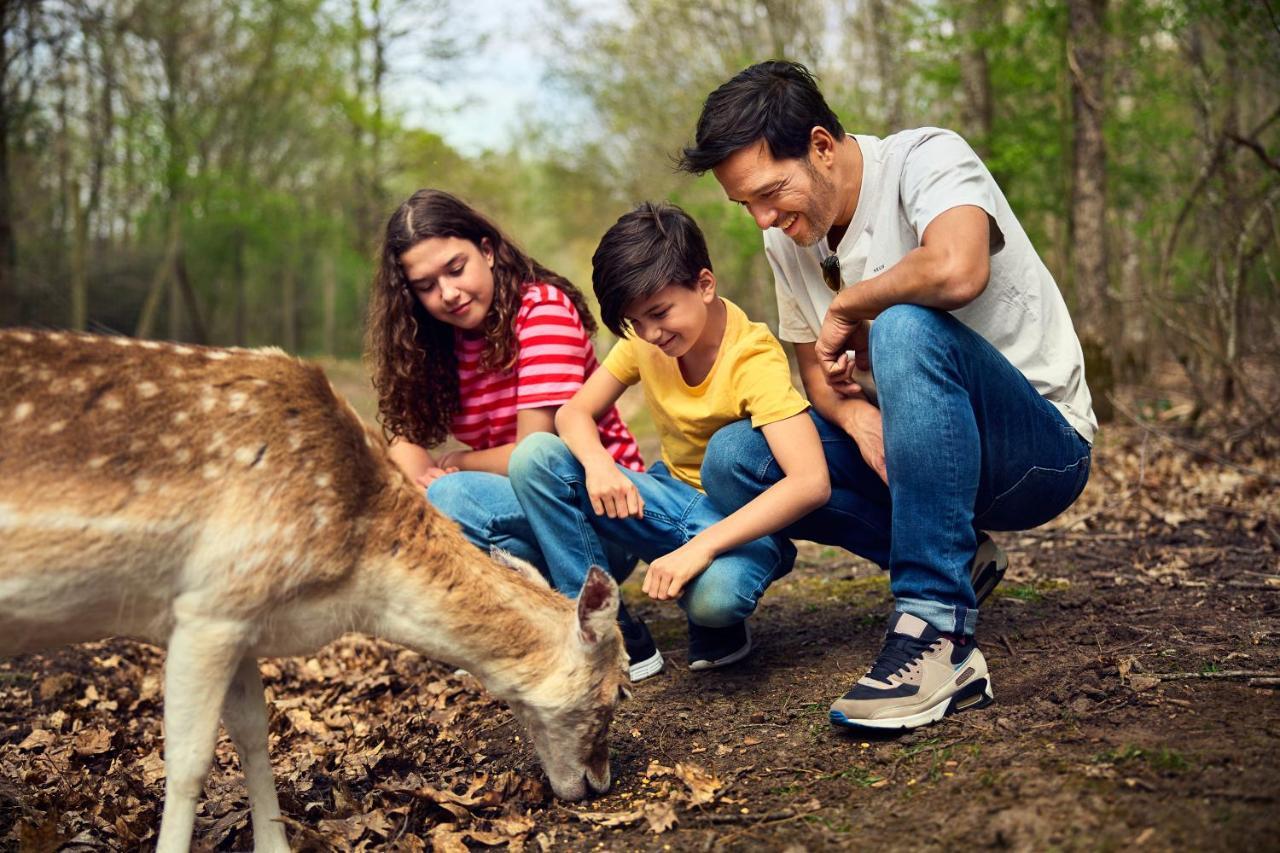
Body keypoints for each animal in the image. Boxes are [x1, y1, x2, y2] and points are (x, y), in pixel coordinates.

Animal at [0, 326, 629, 850]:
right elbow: (187, 763)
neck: (348, 582)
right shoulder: (211, 602)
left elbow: (253, 736)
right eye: (616, 692)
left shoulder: (243, 621)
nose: (599, 784)